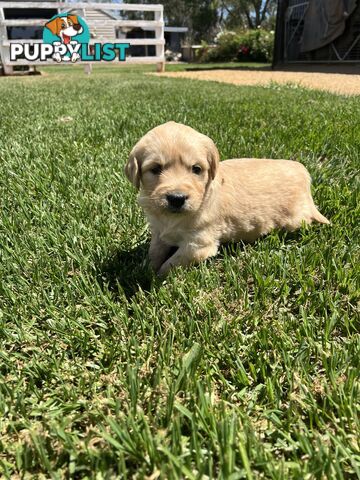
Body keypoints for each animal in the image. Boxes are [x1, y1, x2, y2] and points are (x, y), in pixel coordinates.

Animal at [126, 122, 330, 276]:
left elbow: (171, 263)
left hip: (295, 219)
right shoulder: (159, 231)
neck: (172, 219)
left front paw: (155, 277)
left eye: (196, 169)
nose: (177, 198)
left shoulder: (198, 245)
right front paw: (144, 270)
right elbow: (154, 251)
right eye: (155, 169)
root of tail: (304, 174)